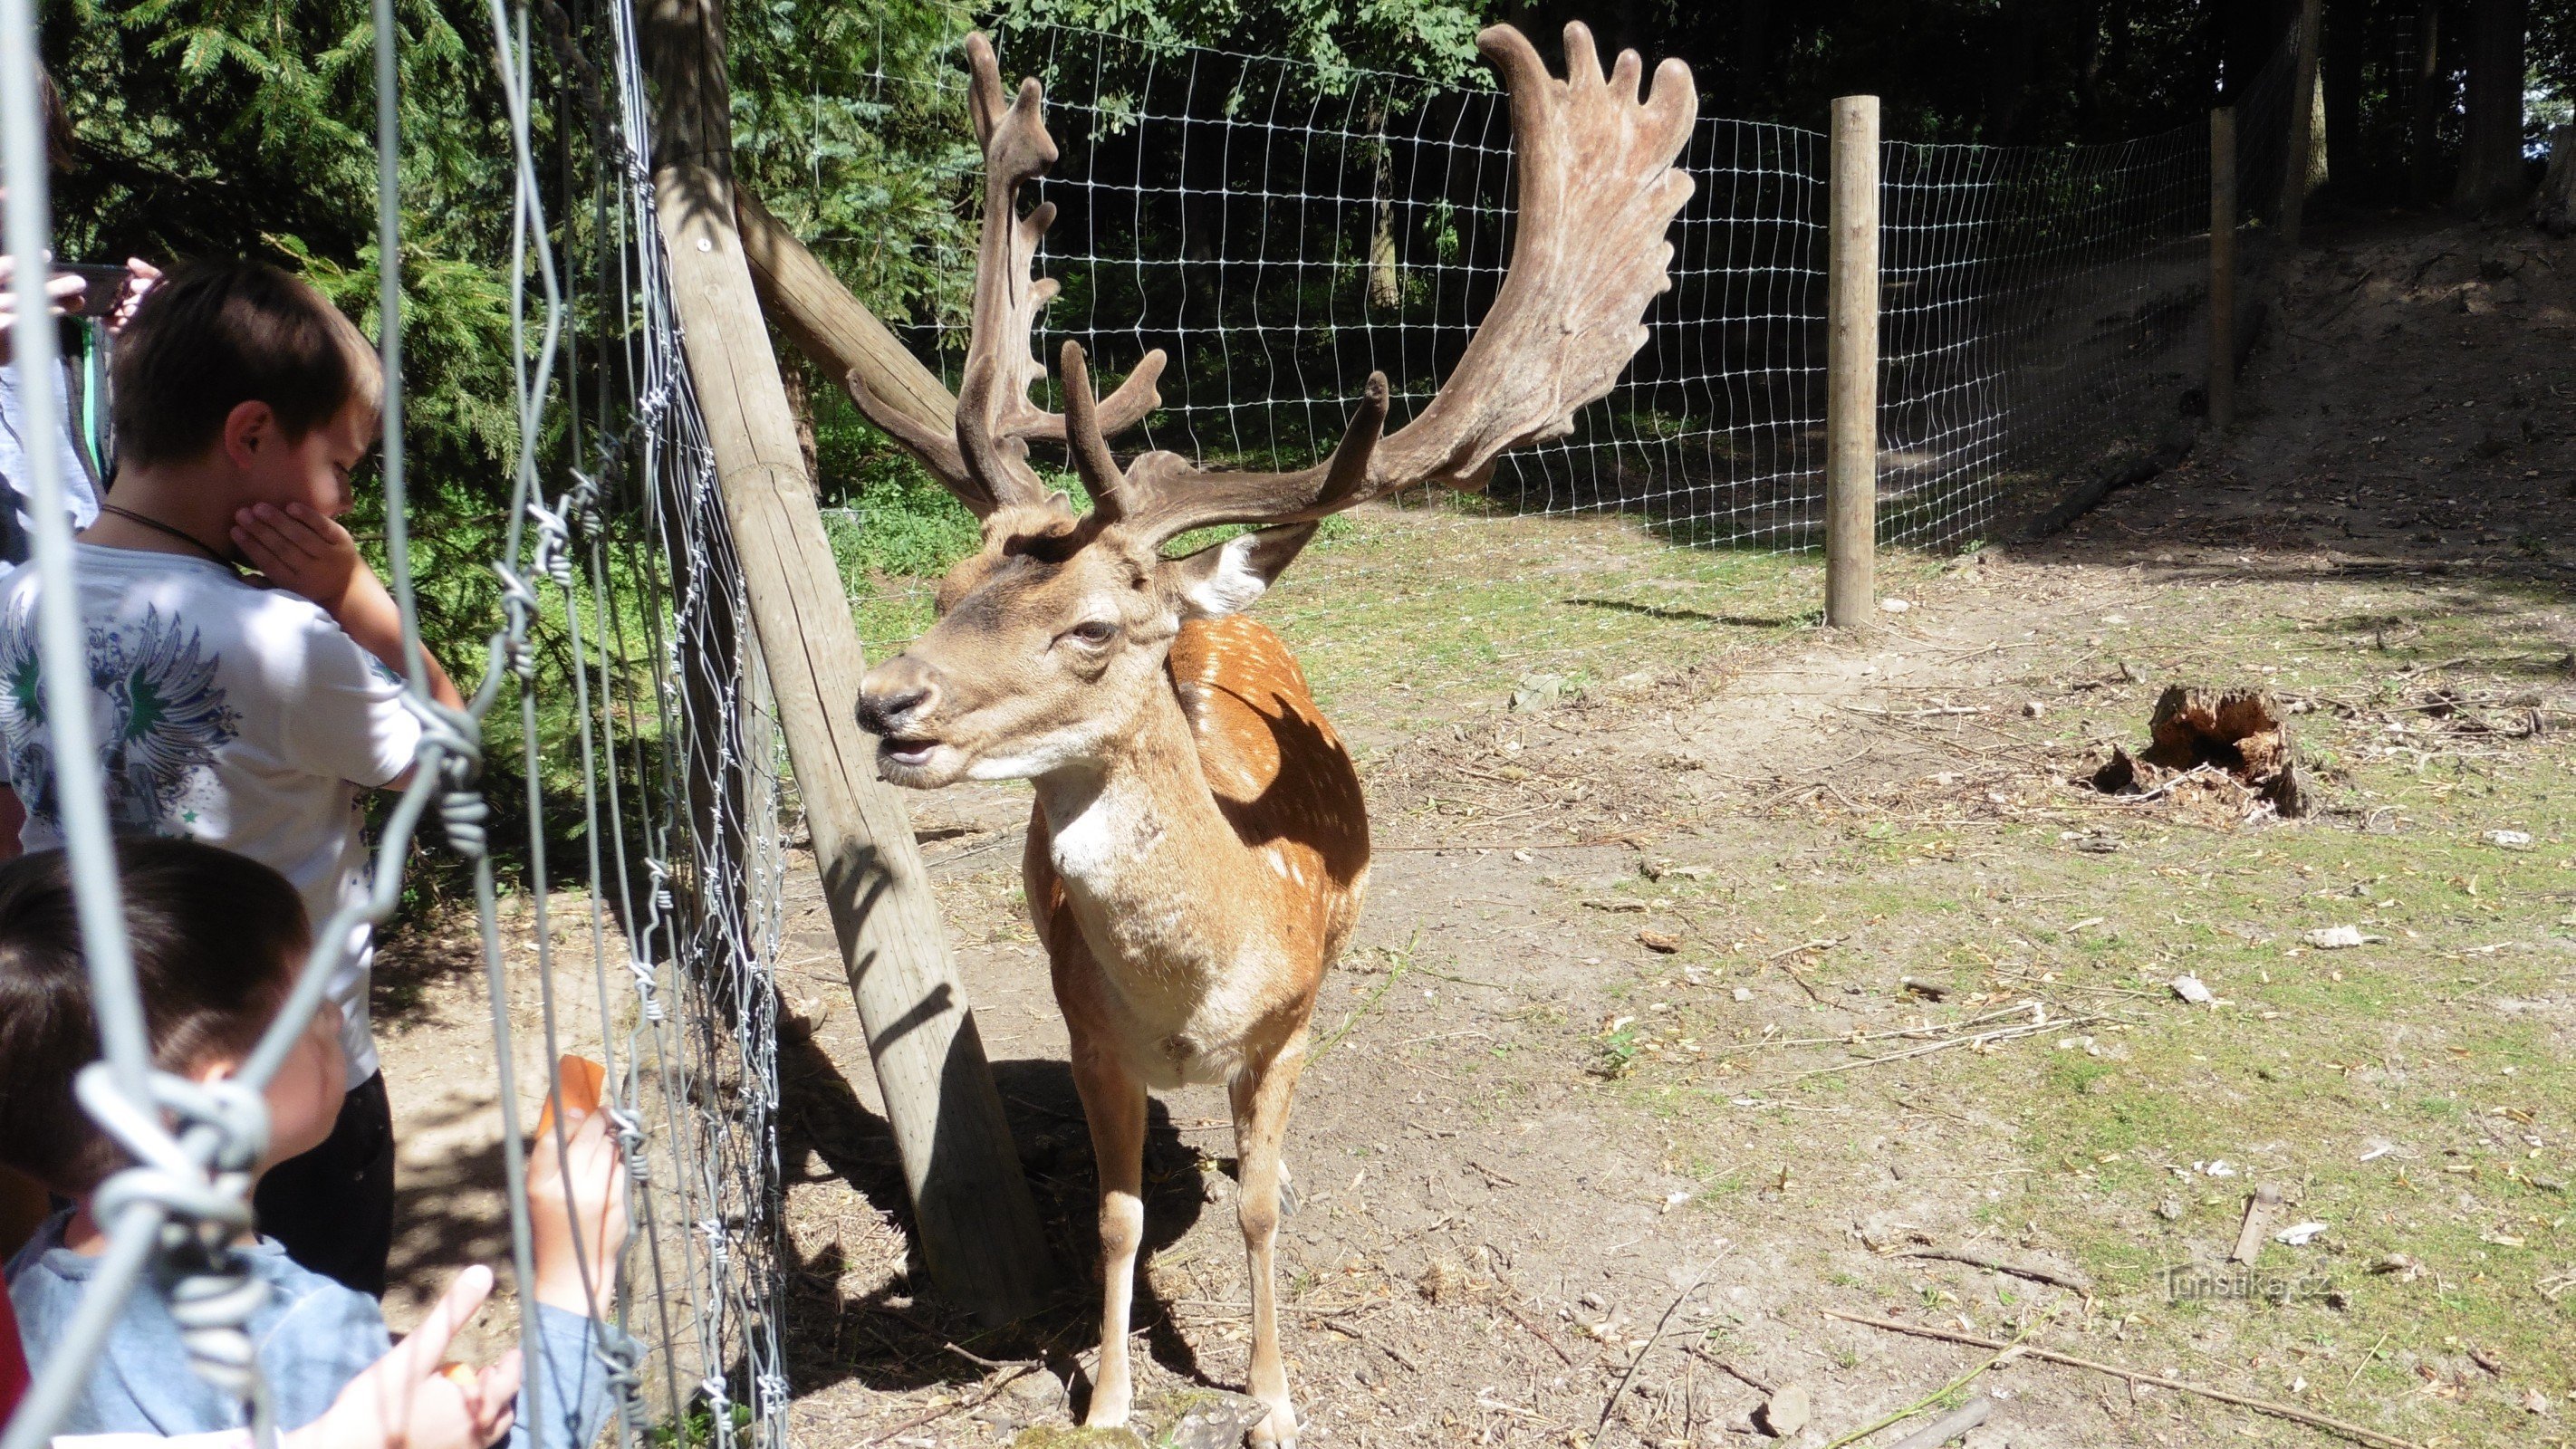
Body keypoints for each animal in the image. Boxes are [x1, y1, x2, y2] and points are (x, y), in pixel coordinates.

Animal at [840, 25, 1689, 1449]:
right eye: (950, 586)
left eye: (1091, 628)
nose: (882, 702)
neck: (1199, 989)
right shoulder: (1089, 1035)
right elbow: (1119, 1215)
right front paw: (1107, 1400)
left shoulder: (1289, 1022)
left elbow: (1253, 1207)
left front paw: (1274, 1397)